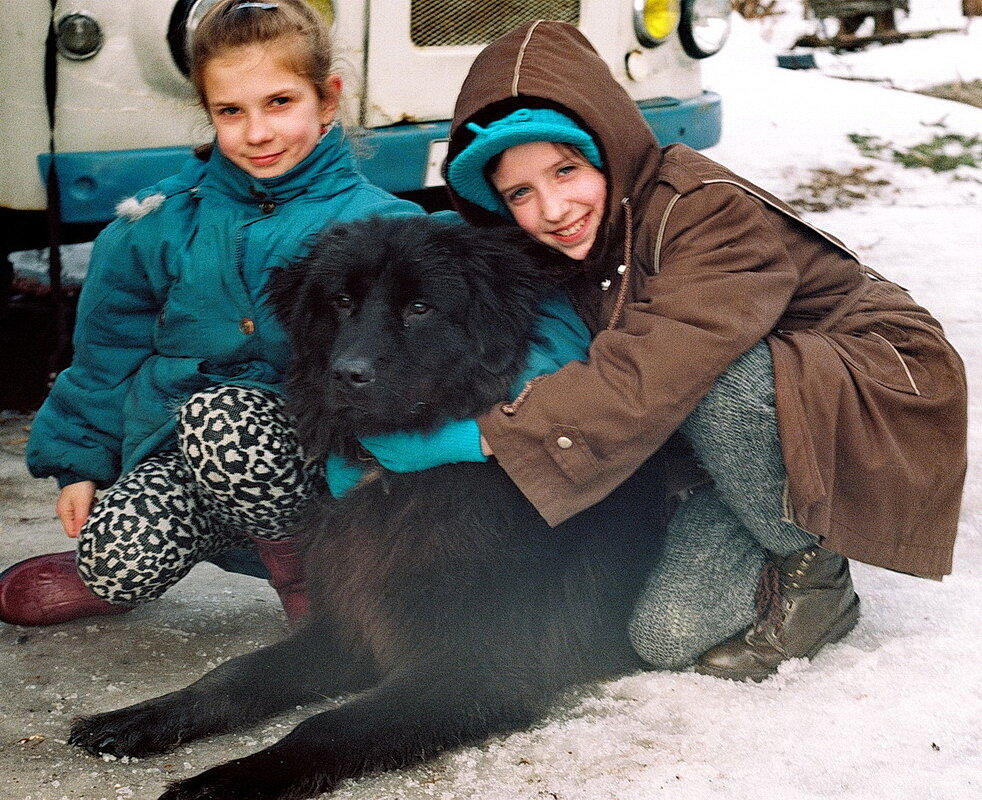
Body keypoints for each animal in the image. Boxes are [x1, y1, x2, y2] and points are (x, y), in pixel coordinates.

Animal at [69, 217, 668, 800]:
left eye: (420, 308)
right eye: (340, 301)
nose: (347, 373)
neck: (392, 474)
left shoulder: (474, 668)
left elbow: (325, 725)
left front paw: (229, 779)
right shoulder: (346, 629)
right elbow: (235, 675)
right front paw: (144, 717)